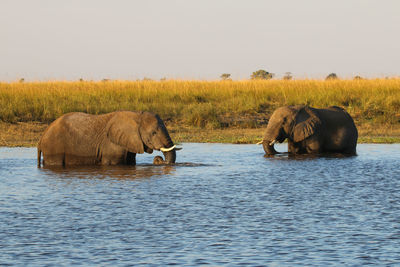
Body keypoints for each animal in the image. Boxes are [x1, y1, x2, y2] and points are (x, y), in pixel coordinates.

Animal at [37, 111, 181, 168]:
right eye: (153, 133)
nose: (158, 159)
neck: (136, 116)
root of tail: (41, 137)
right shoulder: (112, 146)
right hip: (53, 148)